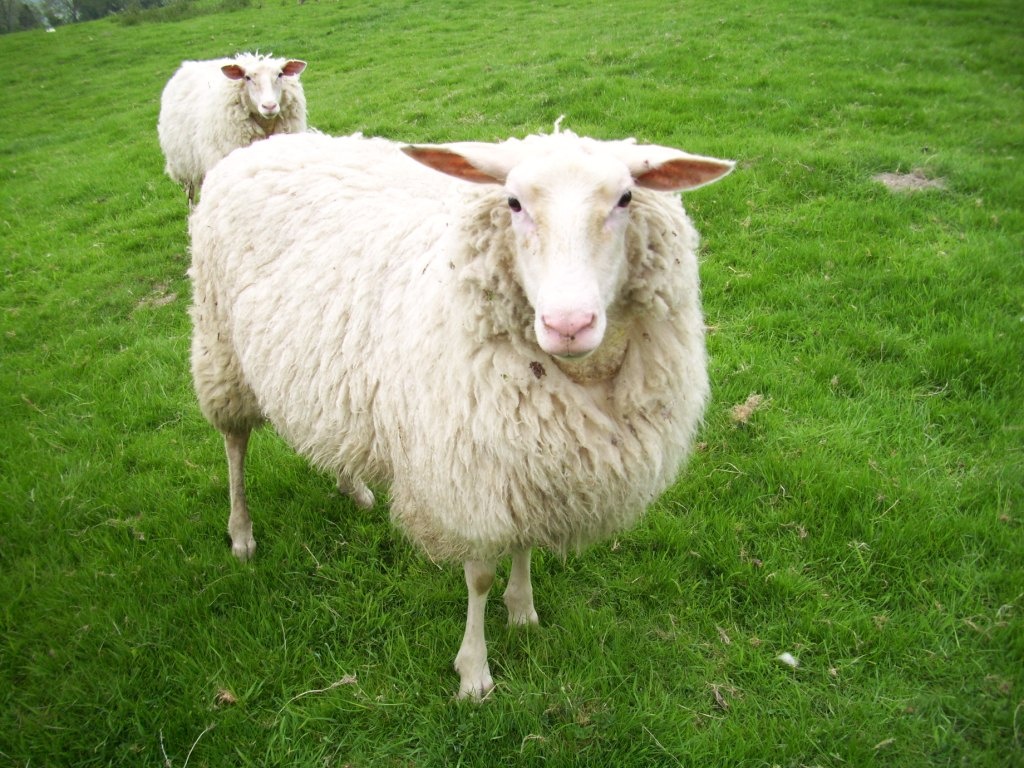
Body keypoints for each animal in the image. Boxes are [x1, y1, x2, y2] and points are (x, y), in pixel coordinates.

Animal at [157, 52, 307, 205]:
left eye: (280, 74)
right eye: (247, 77)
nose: (269, 106)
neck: (265, 124)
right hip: (186, 169)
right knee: (191, 197)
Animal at [187, 126, 733, 699]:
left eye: (626, 198)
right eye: (513, 203)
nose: (568, 324)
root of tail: (268, 144)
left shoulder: (528, 460)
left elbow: (523, 544)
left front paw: (523, 611)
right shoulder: (470, 471)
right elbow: (479, 577)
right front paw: (474, 671)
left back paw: (352, 486)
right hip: (220, 346)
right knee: (234, 443)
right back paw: (242, 533)